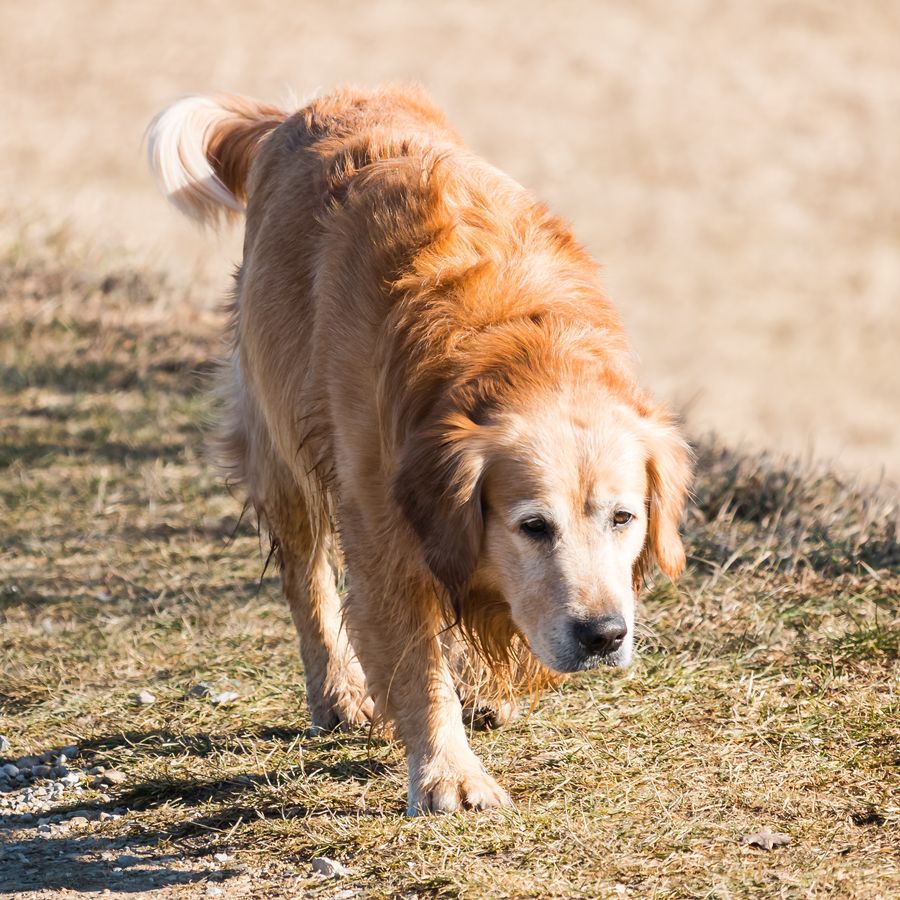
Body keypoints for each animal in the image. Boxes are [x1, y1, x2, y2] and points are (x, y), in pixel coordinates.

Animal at [146, 84, 688, 816]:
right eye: (533, 526)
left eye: (624, 518)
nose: (604, 635)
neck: (513, 345)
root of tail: (307, 107)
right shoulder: (383, 529)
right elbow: (415, 664)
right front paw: (448, 774)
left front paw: (481, 695)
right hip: (280, 441)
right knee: (306, 581)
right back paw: (338, 693)